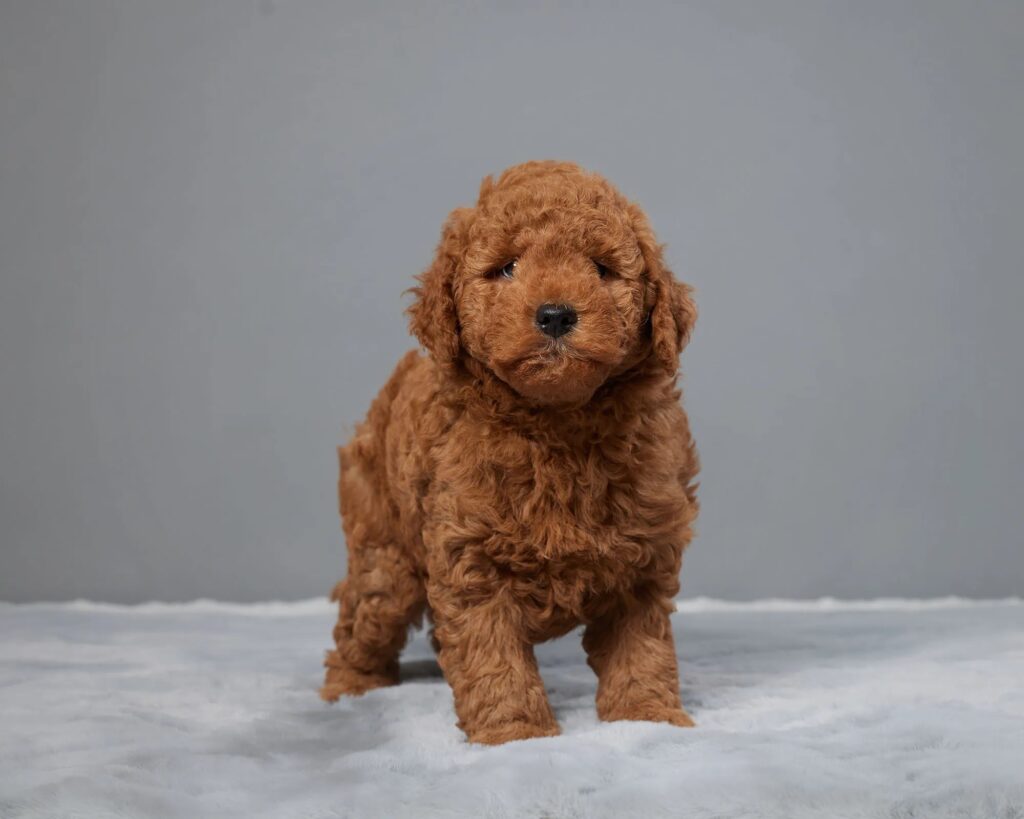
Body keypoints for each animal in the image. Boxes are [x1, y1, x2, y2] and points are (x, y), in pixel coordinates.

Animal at [323, 161, 700, 749]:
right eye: (506, 268)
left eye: (601, 269)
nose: (555, 315)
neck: (557, 423)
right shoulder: (472, 561)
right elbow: (494, 658)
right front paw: (515, 734)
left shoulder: (643, 556)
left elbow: (642, 648)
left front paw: (648, 717)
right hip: (386, 556)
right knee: (364, 616)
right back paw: (349, 687)